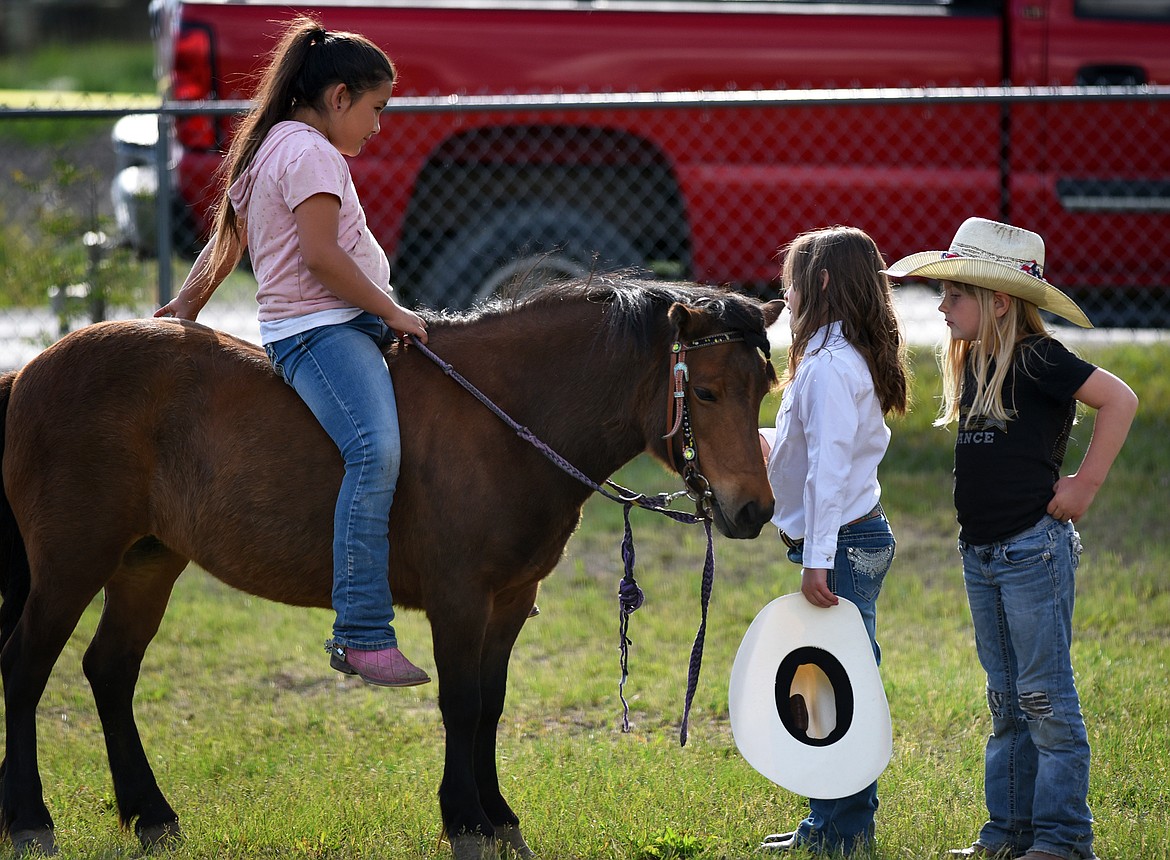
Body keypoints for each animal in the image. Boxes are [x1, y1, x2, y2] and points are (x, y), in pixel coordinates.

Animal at [2, 279, 786, 856]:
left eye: (764, 386)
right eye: (706, 391)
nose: (753, 509)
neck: (503, 422)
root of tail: (31, 368)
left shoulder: (509, 601)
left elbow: (490, 704)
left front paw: (500, 817)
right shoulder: (459, 599)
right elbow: (461, 703)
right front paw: (466, 821)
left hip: (146, 562)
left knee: (109, 670)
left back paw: (151, 815)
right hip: (72, 560)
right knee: (27, 665)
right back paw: (30, 818)